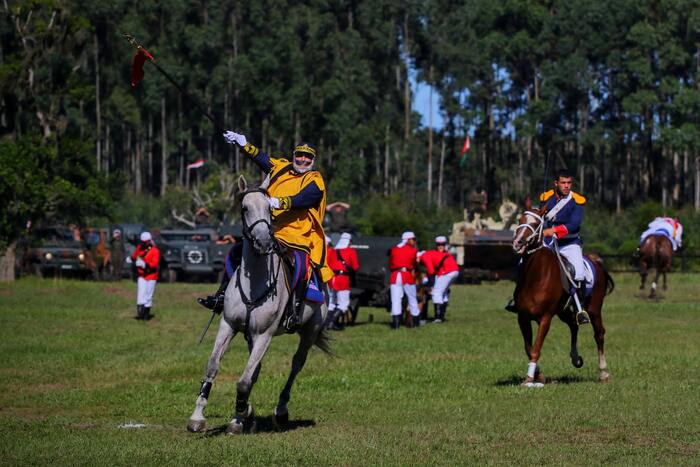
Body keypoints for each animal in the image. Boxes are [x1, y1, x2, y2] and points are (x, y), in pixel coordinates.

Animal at [187, 176, 332, 436]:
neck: (254, 280)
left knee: (296, 364)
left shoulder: (264, 334)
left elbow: (244, 381)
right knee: (257, 369)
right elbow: (213, 366)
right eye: (245, 208)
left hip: (309, 331)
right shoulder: (229, 325)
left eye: (269, 209)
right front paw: (198, 416)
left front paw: (240, 416)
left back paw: (280, 412)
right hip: (250, 336)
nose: (264, 242)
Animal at [508, 211, 612, 388]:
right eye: (520, 220)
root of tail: (595, 260)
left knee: (599, 334)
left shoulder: (545, 319)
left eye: (535, 224)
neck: (536, 276)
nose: (518, 242)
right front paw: (538, 375)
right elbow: (529, 348)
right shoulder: (523, 318)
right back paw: (576, 358)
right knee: (573, 326)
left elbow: (536, 348)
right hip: (564, 312)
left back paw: (603, 372)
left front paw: (529, 379)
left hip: (594, 310)